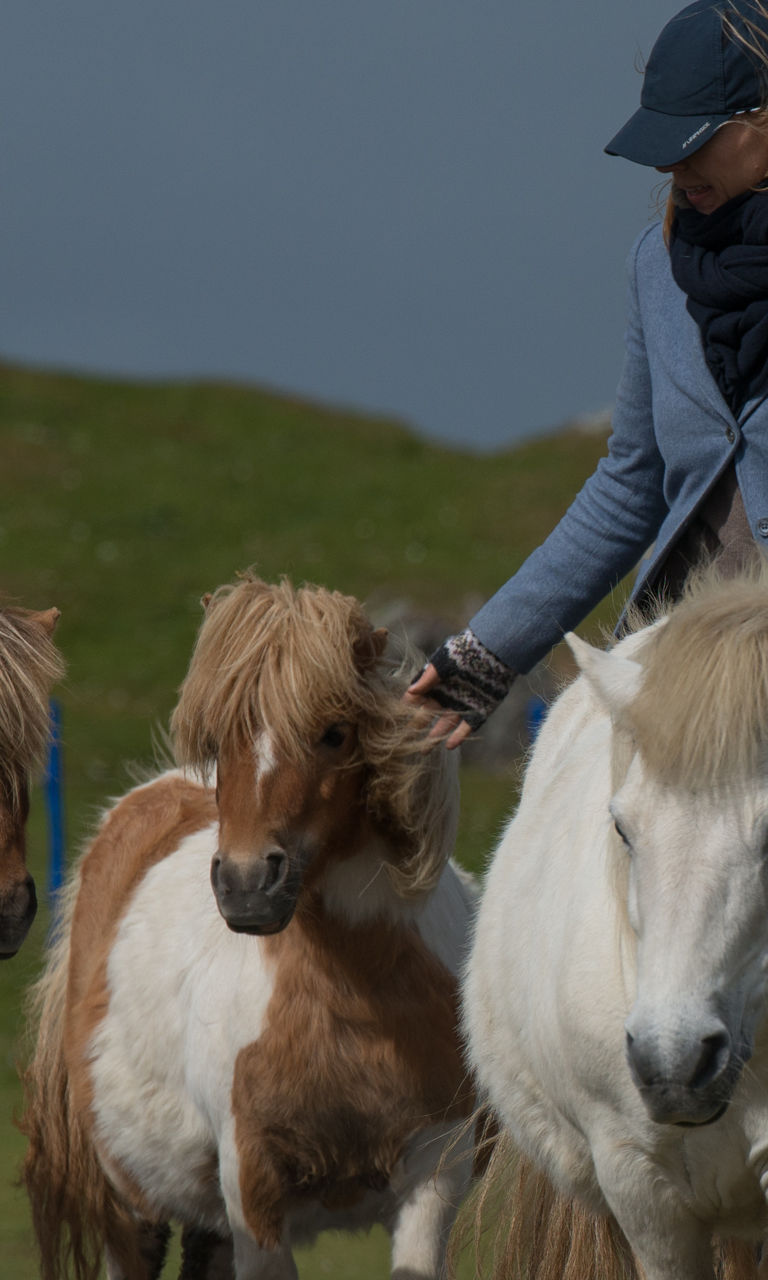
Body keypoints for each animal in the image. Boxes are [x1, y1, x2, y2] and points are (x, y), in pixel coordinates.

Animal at [21, 573, 476, 1280]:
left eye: (336, 733)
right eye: (219, 737)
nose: (245, 886)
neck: (354, 1007)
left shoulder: (437, 1172)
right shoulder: (253, 1187)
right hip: (131, 1205)